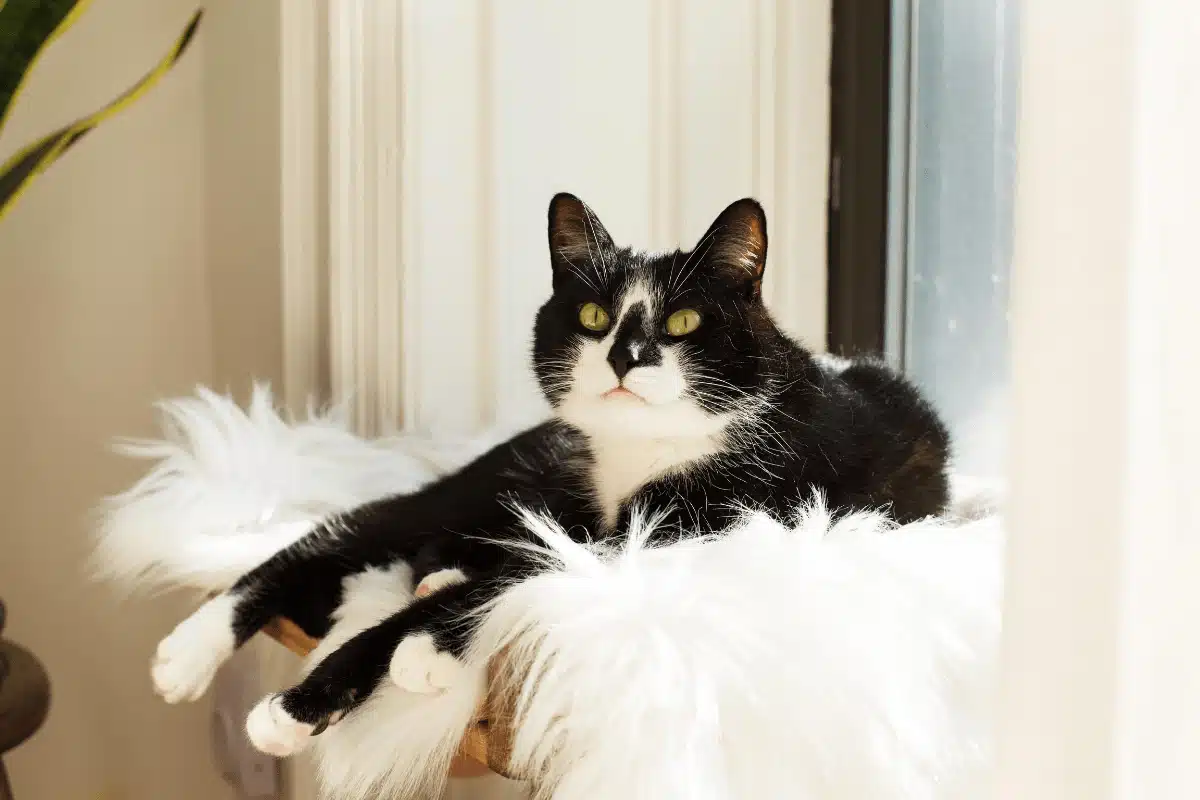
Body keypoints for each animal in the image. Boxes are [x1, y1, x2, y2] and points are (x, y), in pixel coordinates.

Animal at [150, 191, 950, 758]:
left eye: (683, 323)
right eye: (594, 315)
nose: (625, 356)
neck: (644, 452)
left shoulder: (709, 518)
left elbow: (521, 571)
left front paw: (411, 652)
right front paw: (305, 699)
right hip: (510, 471)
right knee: (359, 524)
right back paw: (189, 648)